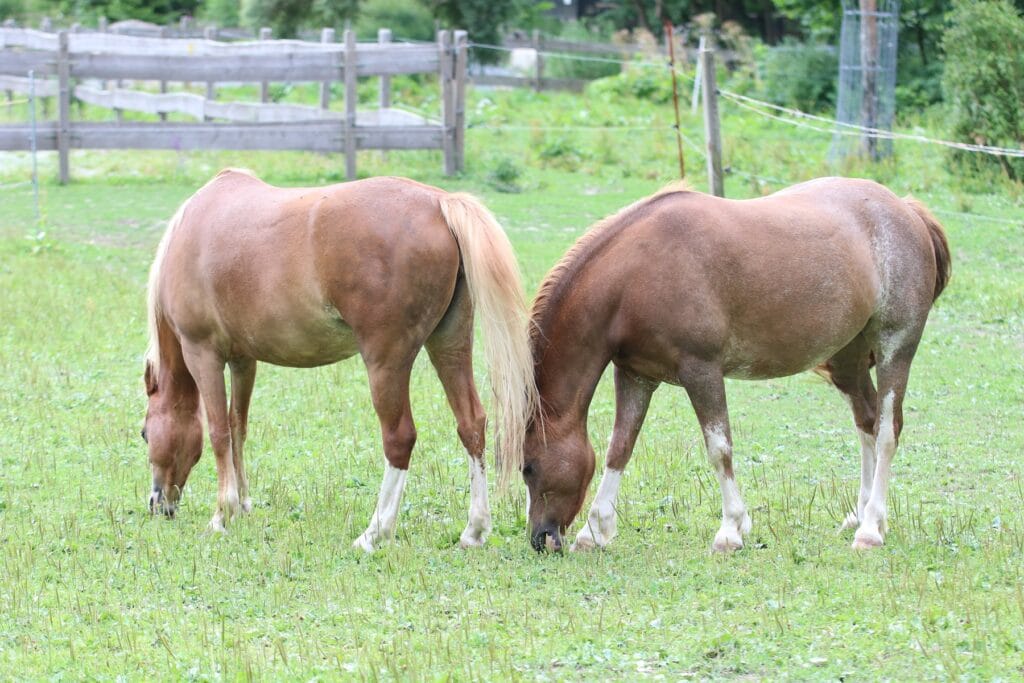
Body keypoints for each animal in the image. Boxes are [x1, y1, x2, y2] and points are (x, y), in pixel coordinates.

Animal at [142, 169, 536, 548]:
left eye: (145, 434)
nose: (158, 504)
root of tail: (439, 203)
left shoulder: (203, 353)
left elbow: (219, 432)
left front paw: (222, 516)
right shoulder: (244, 360)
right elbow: (238, 426)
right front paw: (242, 505)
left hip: (386, 363)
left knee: (399, 438)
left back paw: (375, 533)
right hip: (449, 345)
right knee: (471, 424)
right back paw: (474, 530)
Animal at [524, 178, 946, 557]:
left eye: (527, 467)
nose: (541, 539)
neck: (636, 274)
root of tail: (908, 209)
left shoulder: (701, 372)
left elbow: (719, 449)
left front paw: (730, 531)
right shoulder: (636, 375)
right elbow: (620, 449)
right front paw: (594, 532)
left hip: (895, 348)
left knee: (887, 430)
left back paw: (871, 529)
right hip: (847, 362)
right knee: (867, 423)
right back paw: (860, 515)